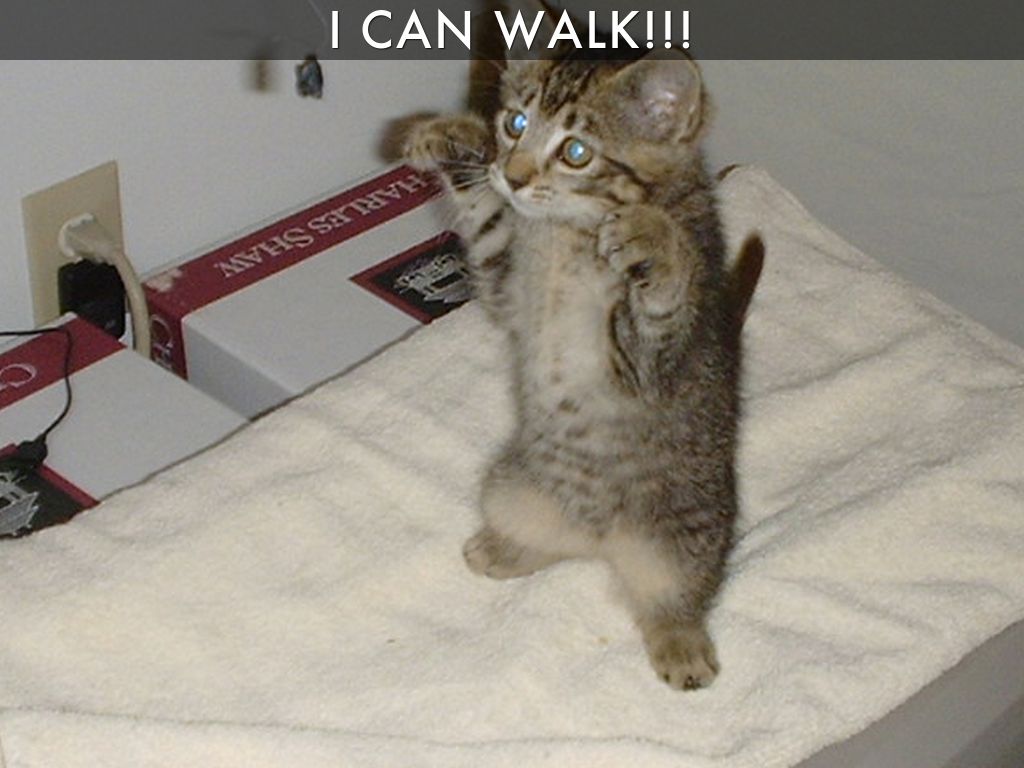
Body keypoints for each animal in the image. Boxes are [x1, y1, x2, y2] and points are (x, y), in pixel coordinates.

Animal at [401, 48, 747, 690]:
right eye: (514, 123)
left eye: (576, 152)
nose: (514, 175)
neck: (566, 234)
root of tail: (600, 540)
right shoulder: (507, 290)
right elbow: (487, 222)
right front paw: (454, 140)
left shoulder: (646, 365)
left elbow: (664, 312)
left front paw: (657, 245)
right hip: (510, 487)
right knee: (545, 540)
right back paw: (506, 550)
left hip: (681, 539)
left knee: (676, 594)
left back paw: (681, 643)